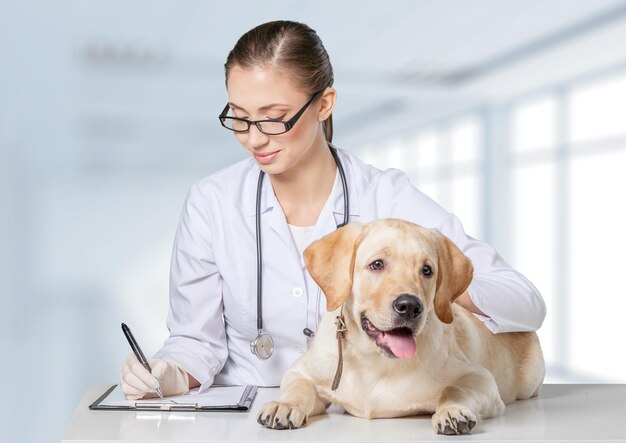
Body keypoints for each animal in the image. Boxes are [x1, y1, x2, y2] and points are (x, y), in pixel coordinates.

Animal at [256, 220, 544, 436]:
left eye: (427, 270)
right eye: (377, 264)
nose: (410, 306)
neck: (374, 360)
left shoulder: (480, 378)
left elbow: (454, 389)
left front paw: (452, 410)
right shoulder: (302, 372)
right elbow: (299, 387)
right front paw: (284, 405)